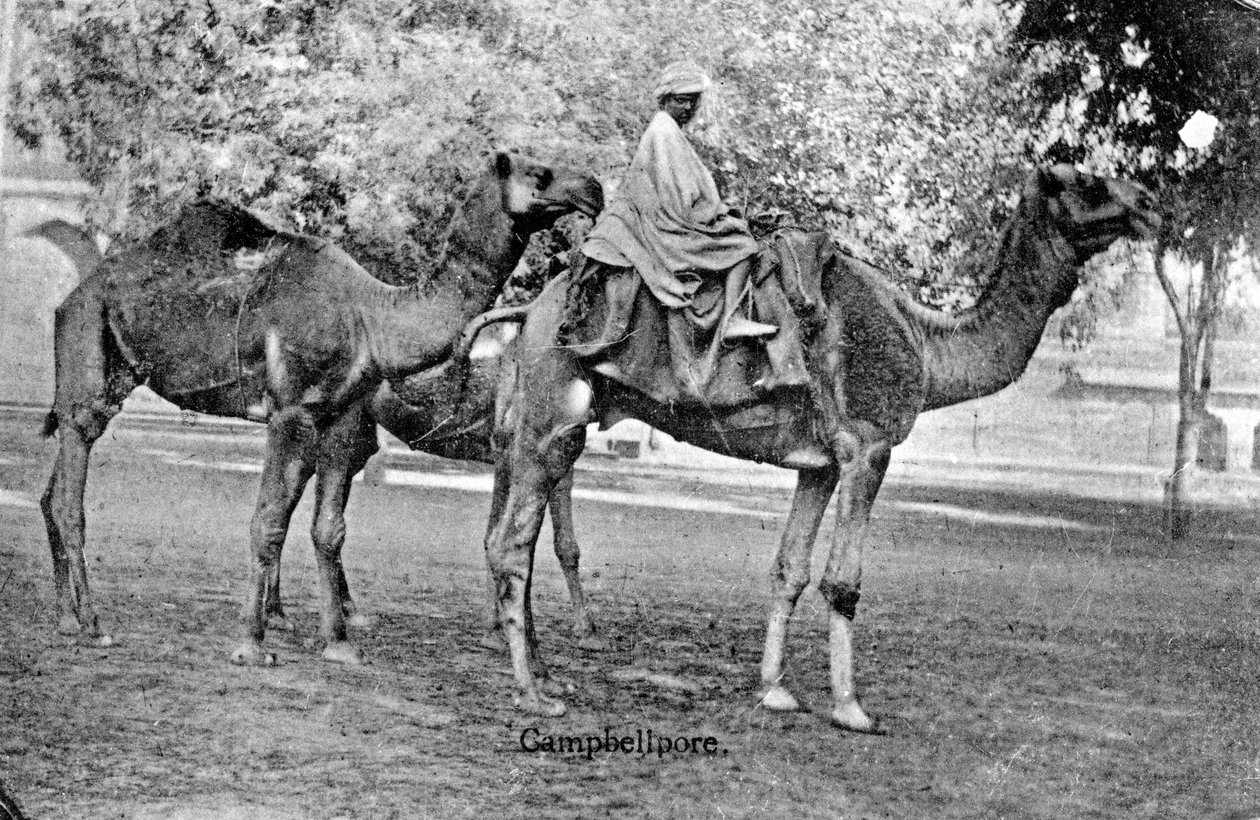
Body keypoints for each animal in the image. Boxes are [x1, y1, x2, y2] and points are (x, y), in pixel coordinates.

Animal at [41, 152, 602, 665]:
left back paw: (66, 618)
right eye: (539, 173)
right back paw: (93, 624)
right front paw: (251, 645)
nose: (593, 189)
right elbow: (268, 522)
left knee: (52, 490)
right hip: (88, 342)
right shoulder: (290, 413)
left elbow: (328, 529)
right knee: (73, 479)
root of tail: (73, 295)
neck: (372, 317)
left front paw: (338, 644)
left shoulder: (337, 418)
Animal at [476, 166, 1154, 730]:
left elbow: (789, 571)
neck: (928, 345)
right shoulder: (868, 446)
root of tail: (532, 313)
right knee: (510, 544)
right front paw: (852, 709)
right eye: (1086, 182)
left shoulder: (821, 466)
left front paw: (776, 692)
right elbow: (843, 581)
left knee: (510, 537)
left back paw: (545, 675)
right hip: (553, 414)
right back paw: (534, 695)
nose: (1148, 201)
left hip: (540, 423)